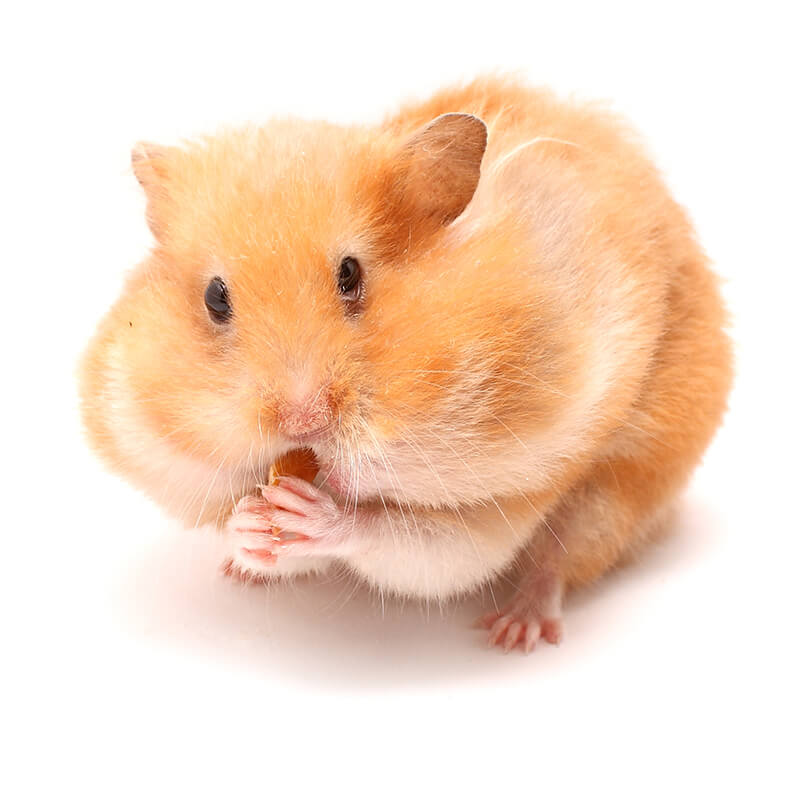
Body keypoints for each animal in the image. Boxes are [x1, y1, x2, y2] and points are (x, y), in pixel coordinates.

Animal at [79, 76, 732, 653]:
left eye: (351, 275)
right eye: (216, 299)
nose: (302, 420)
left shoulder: (495, 509)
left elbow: (410, 542)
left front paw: (315, 511)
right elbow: (253, 527)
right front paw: (249, 529)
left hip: (617, 493)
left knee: (557, 563)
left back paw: (515, 633)